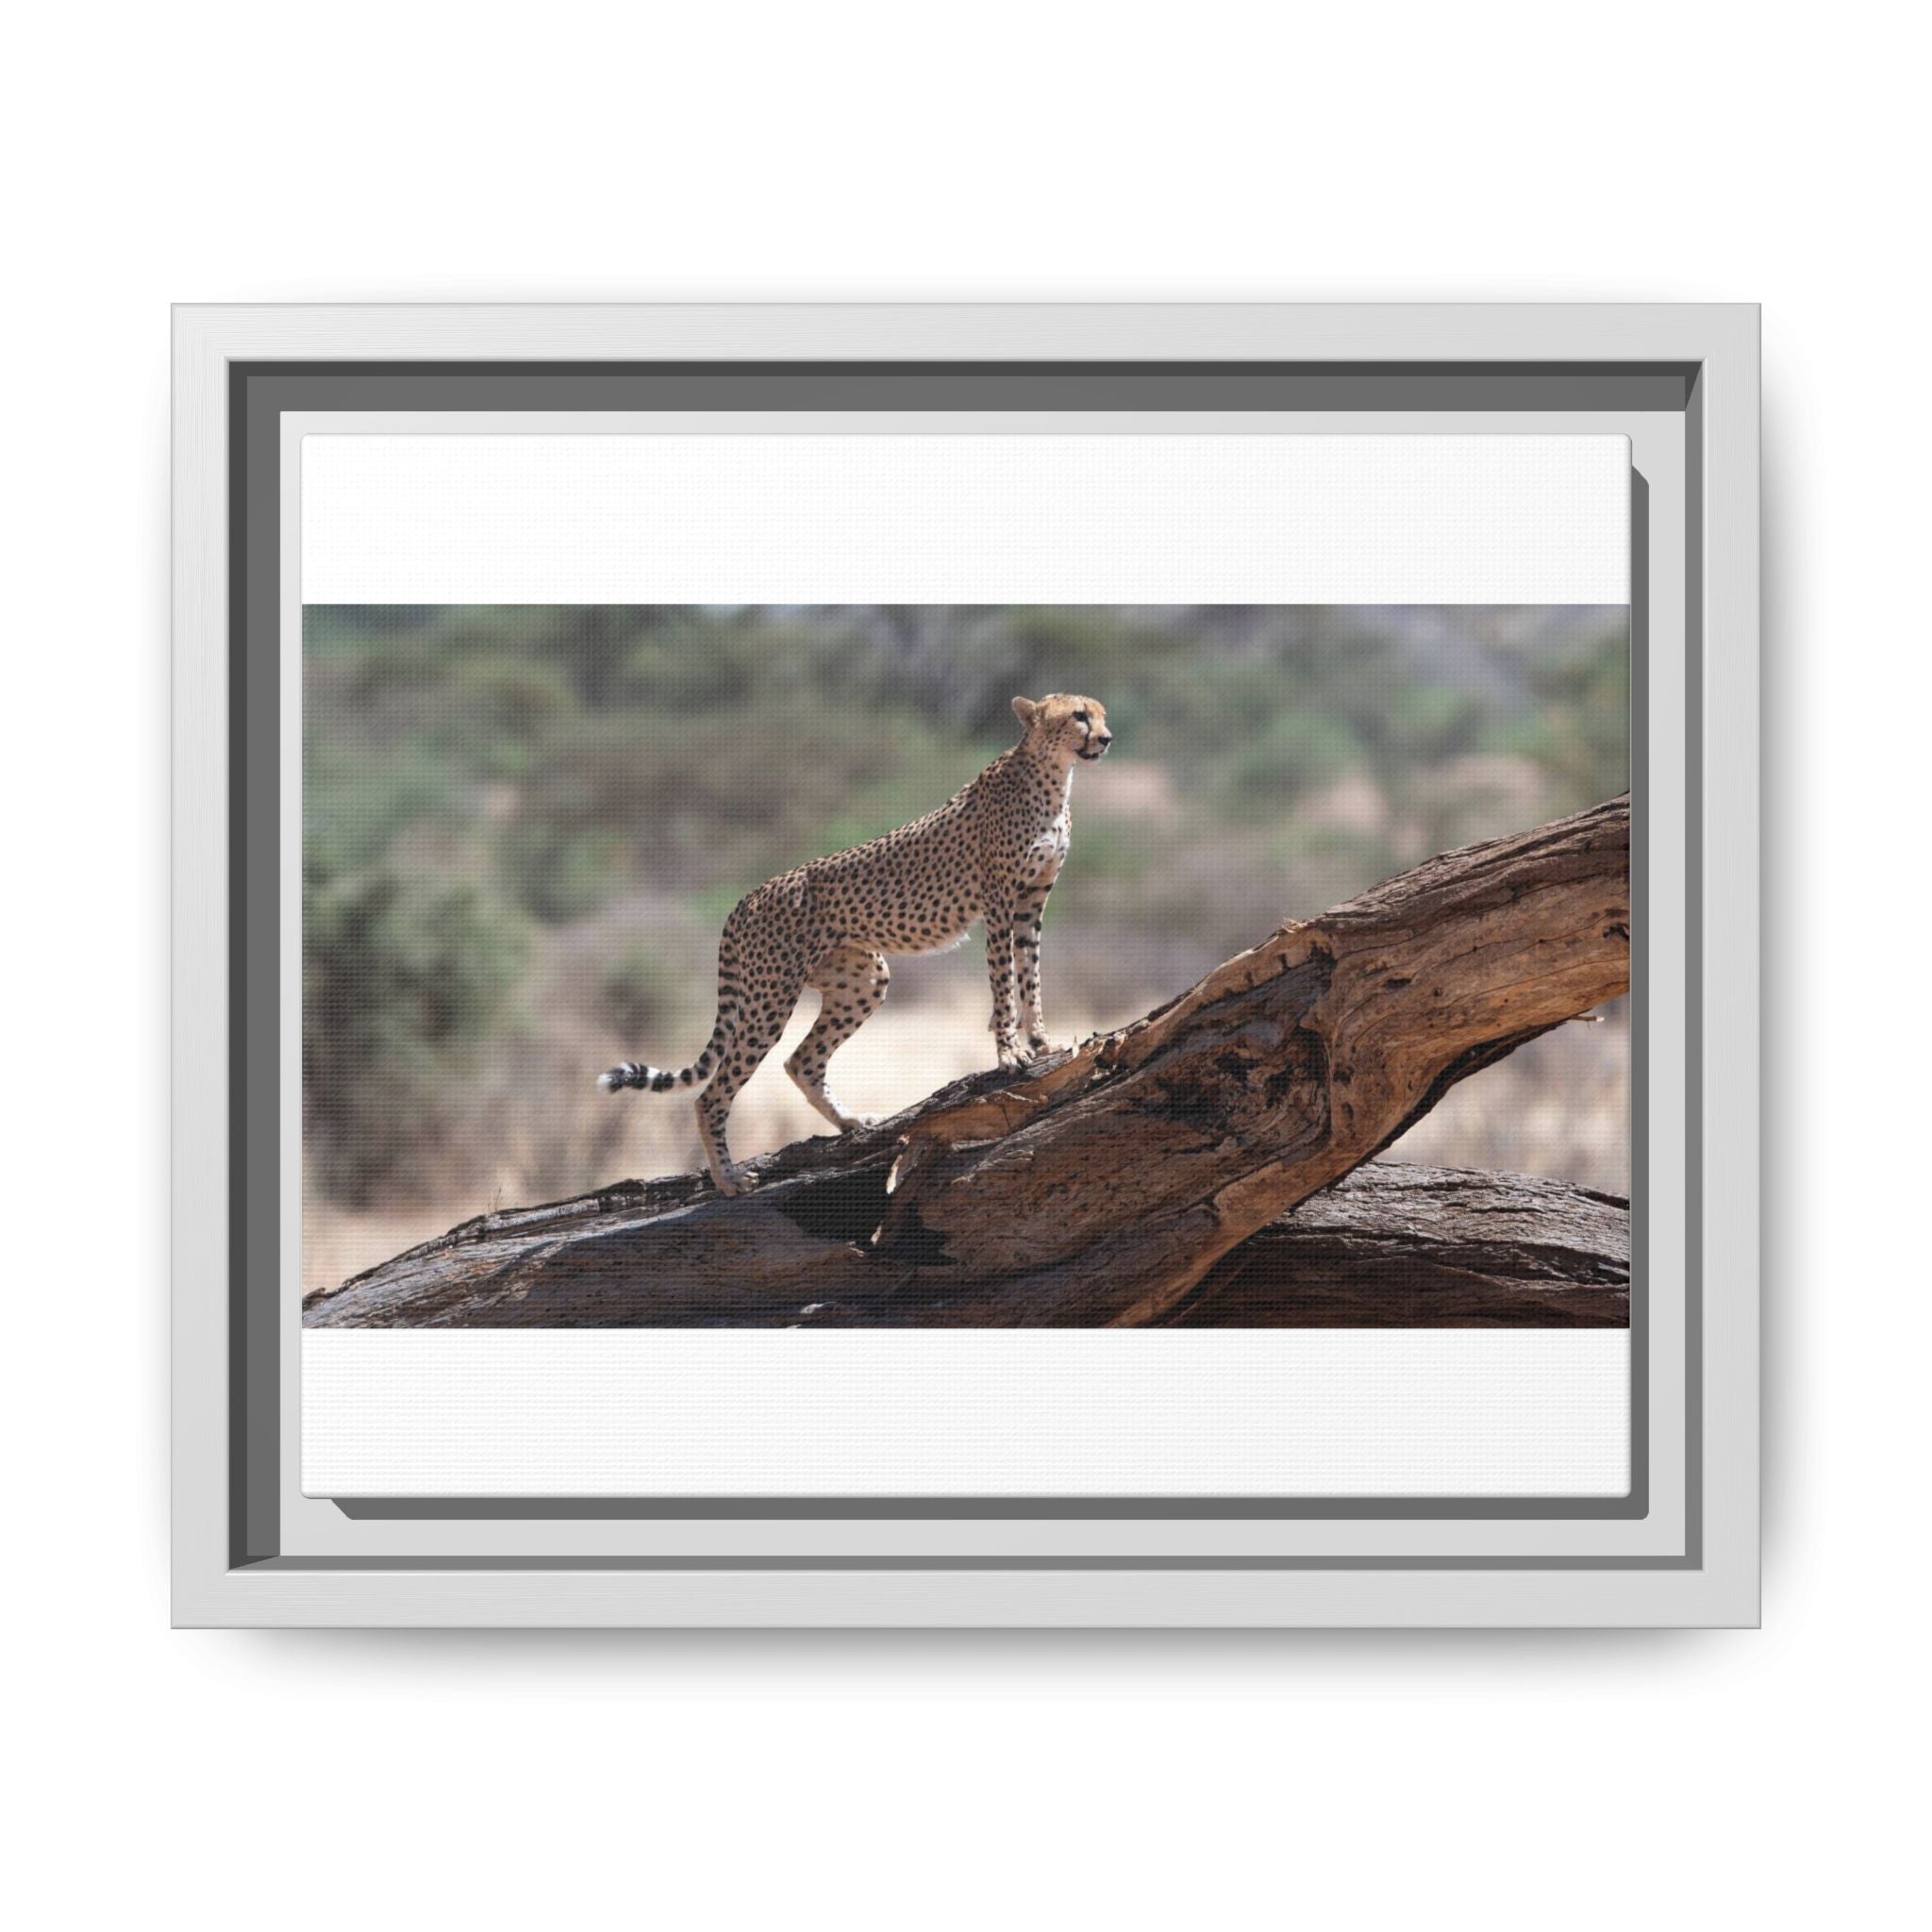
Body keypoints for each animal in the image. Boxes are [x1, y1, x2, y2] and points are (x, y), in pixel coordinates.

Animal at [598, 692, 1114, 1195]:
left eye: (1101, 714)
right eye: (1078, 716)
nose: (1106, 738)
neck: (1053, 776)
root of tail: (748, 896)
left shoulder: (1031, 904)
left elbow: (1030, 976)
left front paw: (1042, 1040)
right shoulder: (1000, 903)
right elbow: (1004, 983)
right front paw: (1009, 1053)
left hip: (862, 978)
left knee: (801, 1061)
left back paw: (850, 1122)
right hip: (770, 997)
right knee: (713, 1093)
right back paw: (729, 1179)